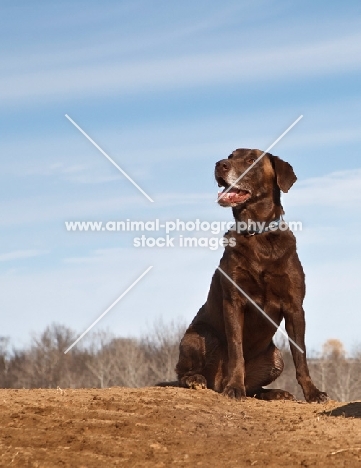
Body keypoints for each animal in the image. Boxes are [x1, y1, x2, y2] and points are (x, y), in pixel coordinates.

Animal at [176, 149, 328, 402]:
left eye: (251, 160)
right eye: (230, 156)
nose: (220, 164)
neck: (258, 233)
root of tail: (216, 383)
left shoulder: (295, 306)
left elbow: (300, 355)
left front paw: (312, 392)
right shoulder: (234, 301)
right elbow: (237, 349)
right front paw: (234, 387)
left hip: (276, 357)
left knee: (255, 388)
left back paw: (276, 392)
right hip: (199, 336)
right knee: (183, 372)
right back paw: (197, 380)